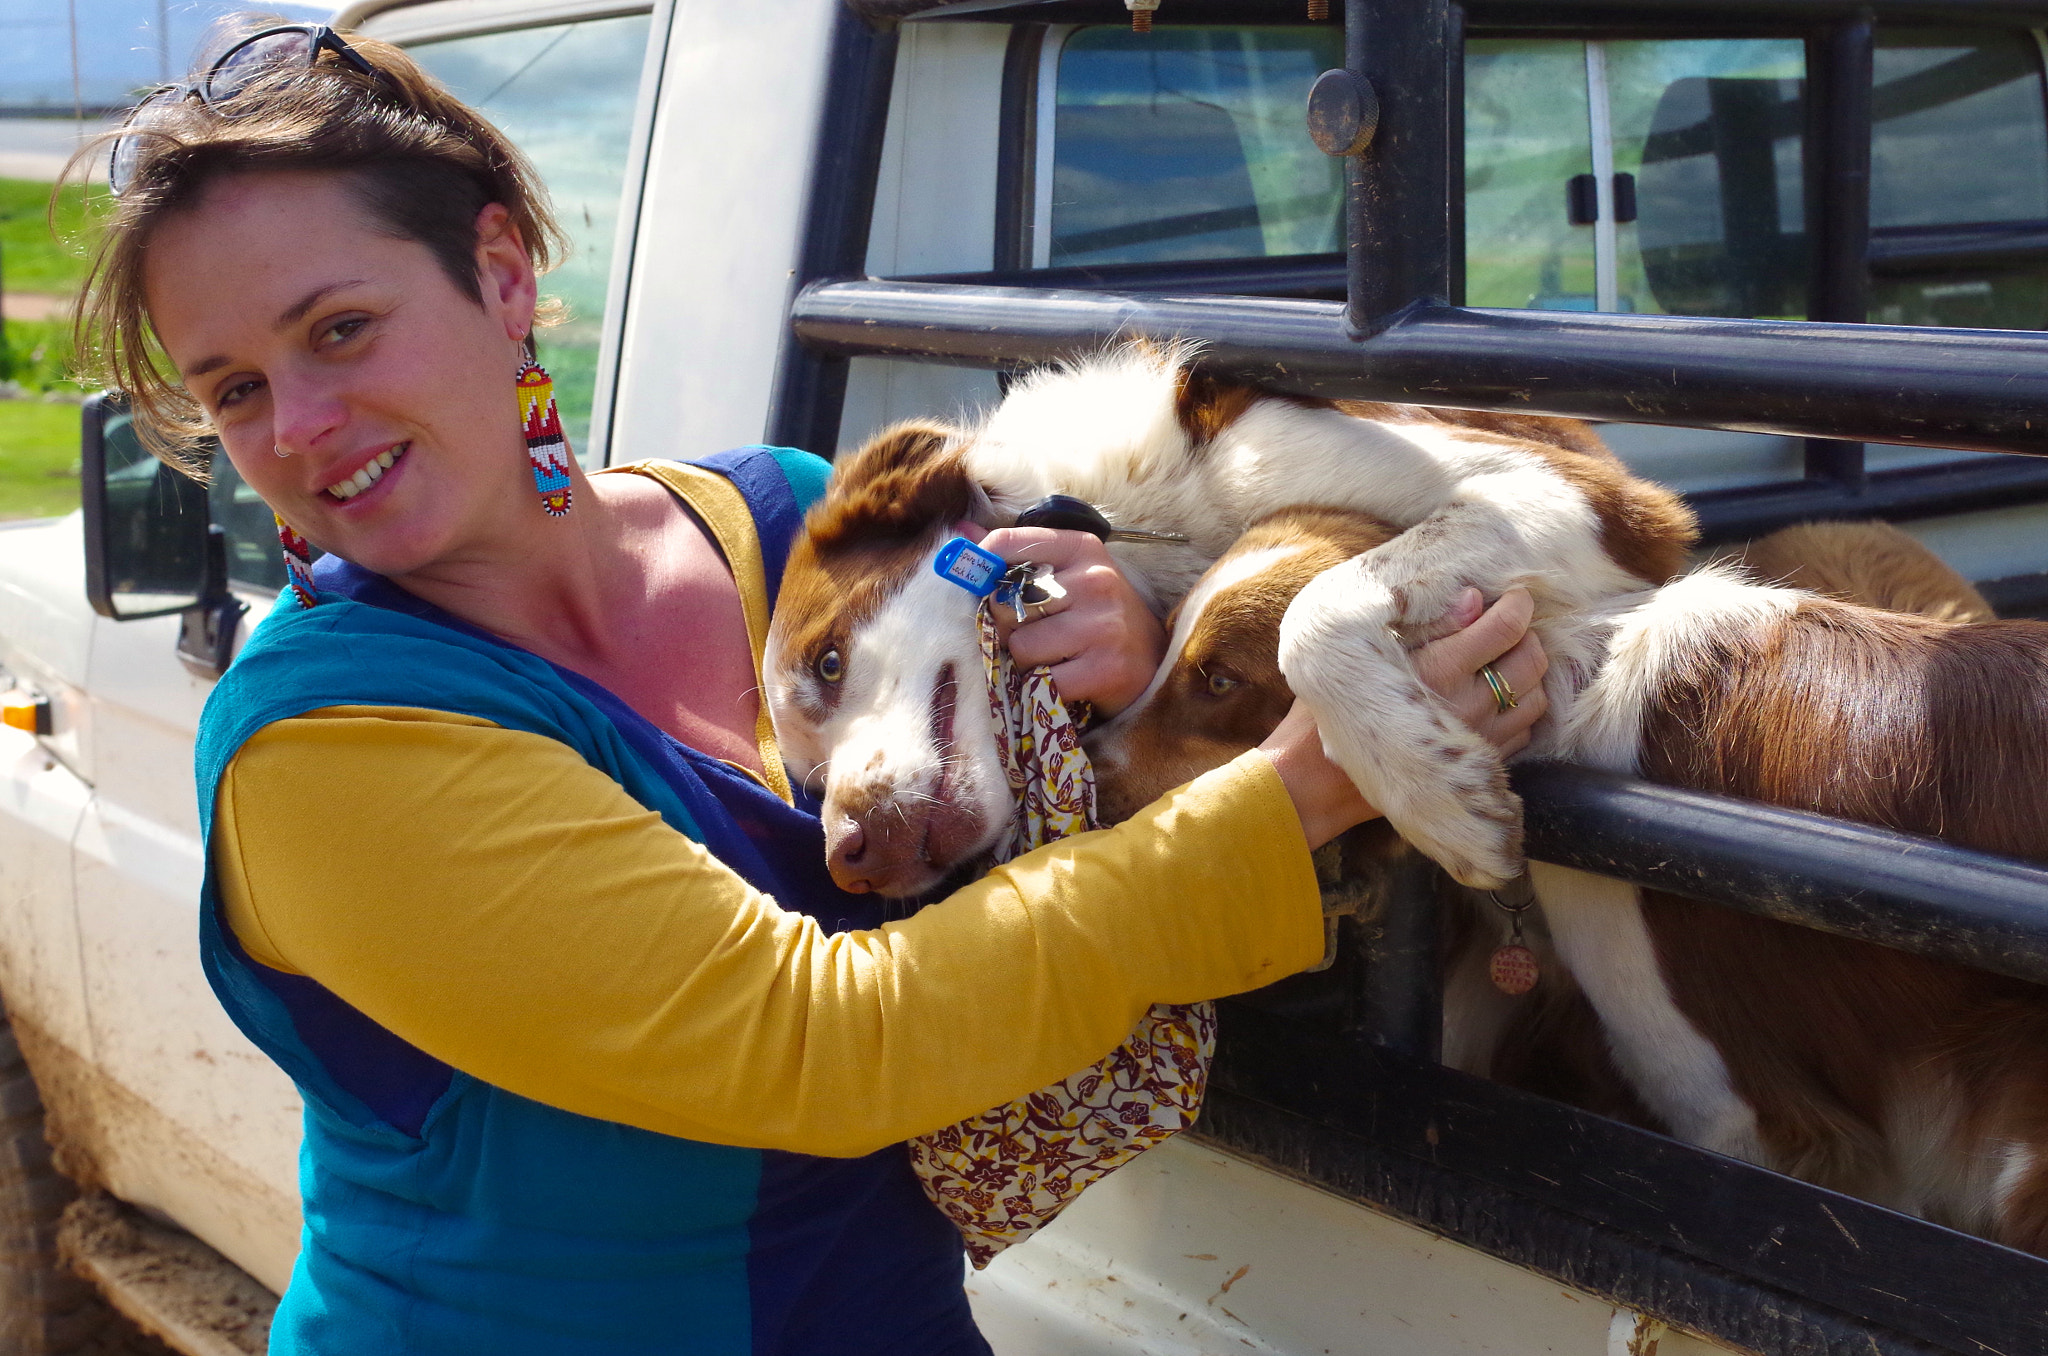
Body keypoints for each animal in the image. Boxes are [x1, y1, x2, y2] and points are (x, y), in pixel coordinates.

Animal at [761, 348, 1687, 901]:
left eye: (830, 662)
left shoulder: (1591, 502)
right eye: (806, 783)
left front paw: (1446, 804)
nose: (849, 858)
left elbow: (1312, 616)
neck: (1148, 514)